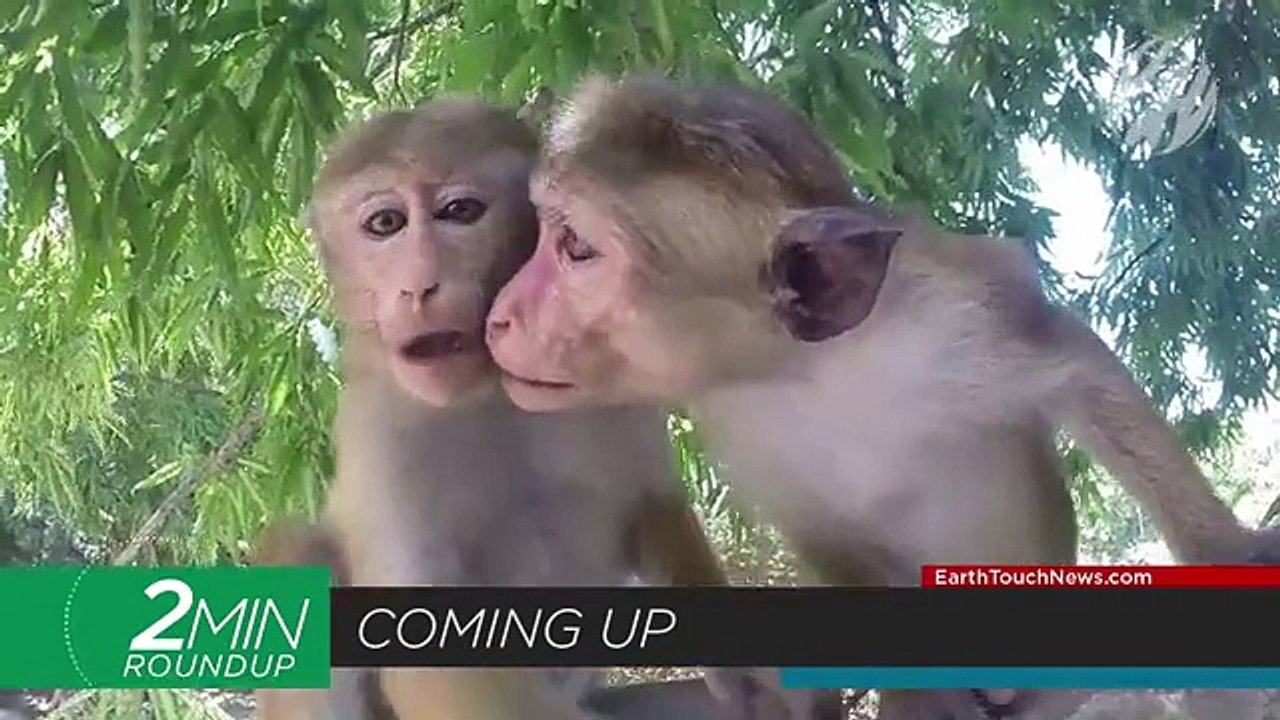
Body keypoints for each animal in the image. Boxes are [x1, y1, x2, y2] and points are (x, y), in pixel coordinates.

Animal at [482, 75, 1280, 719]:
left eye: (576, 248)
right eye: (544, 233)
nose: (501, 314)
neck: (811, 368)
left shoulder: (948, 305)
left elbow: (1073, 365)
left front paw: (1226, 554)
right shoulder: (735, 418)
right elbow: (820, 531)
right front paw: (915, 690)